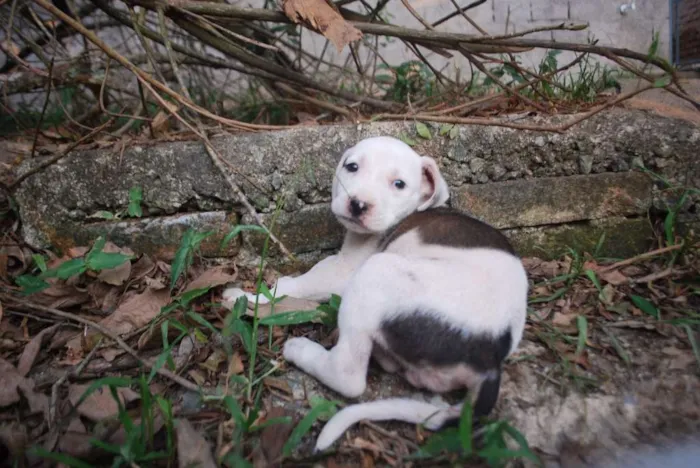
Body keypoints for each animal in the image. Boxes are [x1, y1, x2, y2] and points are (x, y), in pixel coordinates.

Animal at [221, 137, 528, 452]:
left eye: (399, 184)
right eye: (352, 167)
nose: (358, 204)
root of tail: (488, 359)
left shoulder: (344, 271)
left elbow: (294, 285)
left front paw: (247, 298)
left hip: (375, 274)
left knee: (349, 376)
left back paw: (302, 351)